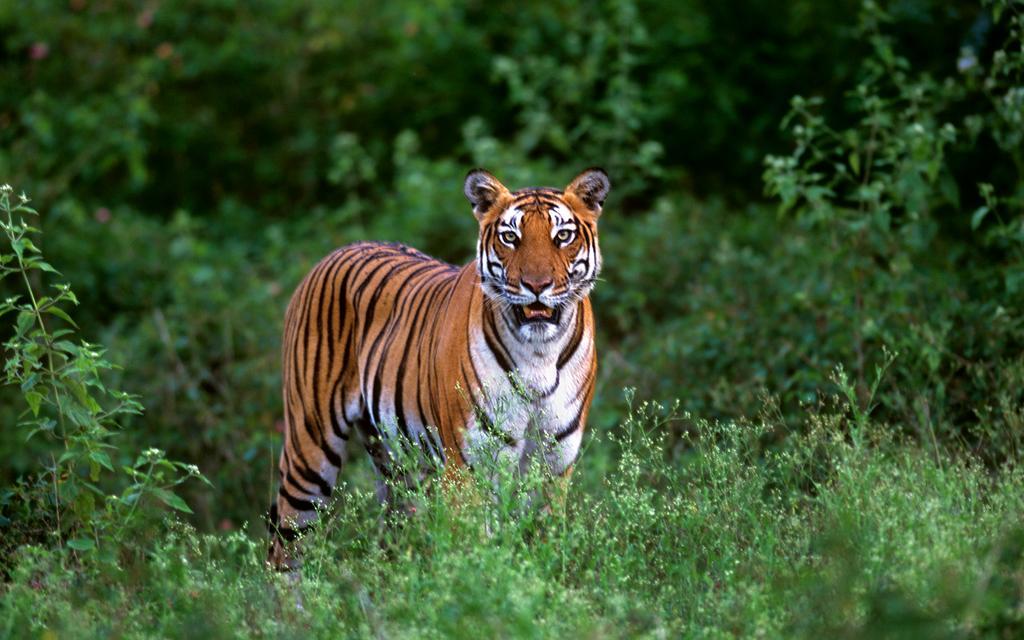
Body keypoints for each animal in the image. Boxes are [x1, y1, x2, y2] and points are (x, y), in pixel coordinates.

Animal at [268, 166, 610, 565]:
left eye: (563, 236)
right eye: (510, 237)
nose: (536, 285)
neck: (538, 352)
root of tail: (338, 251)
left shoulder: (554, 464)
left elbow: (544, 547)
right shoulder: (470, 465)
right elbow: (477, 554)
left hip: (399, 465)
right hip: (310, 448)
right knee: (284, 548)